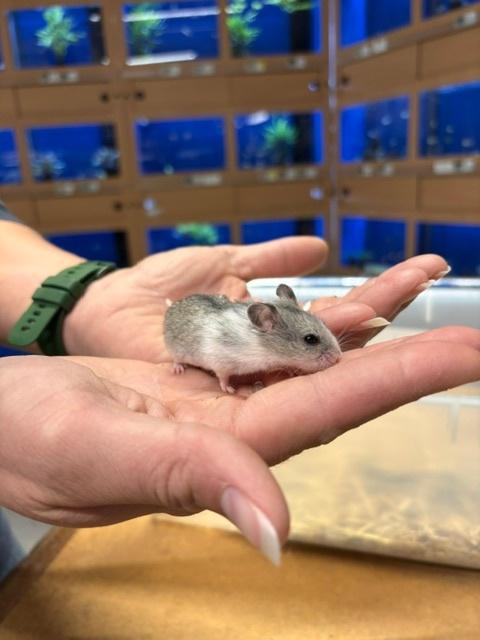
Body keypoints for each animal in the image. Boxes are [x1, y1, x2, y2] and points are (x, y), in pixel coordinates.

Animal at [164, 283, 341, 394]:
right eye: (310, 339)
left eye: (324, 322)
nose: (338, 357)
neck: (263, 346)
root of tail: (171, 307)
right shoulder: (221, 362)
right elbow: (223, 377)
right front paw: (229, 390)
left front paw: (292, 370)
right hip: (176, 351)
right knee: (176, 359)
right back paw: (178, 369)